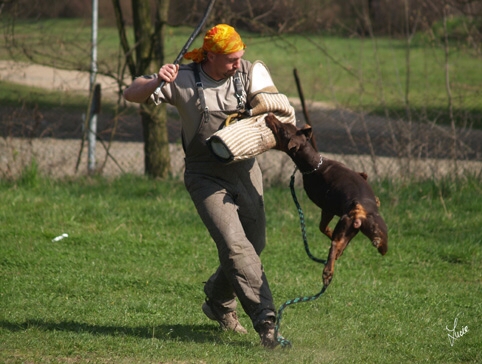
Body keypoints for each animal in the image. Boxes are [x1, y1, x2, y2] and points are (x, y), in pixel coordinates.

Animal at [264, 112, 388, 286]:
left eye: (282, 129)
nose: (269, 115)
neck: (314, 164)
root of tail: (359, 210)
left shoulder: (327, 208)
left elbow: (322, 227)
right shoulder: (331, 206)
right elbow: (324, 228)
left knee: (336, 244)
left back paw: (328, 270)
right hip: (359, 228)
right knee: (340, 244)